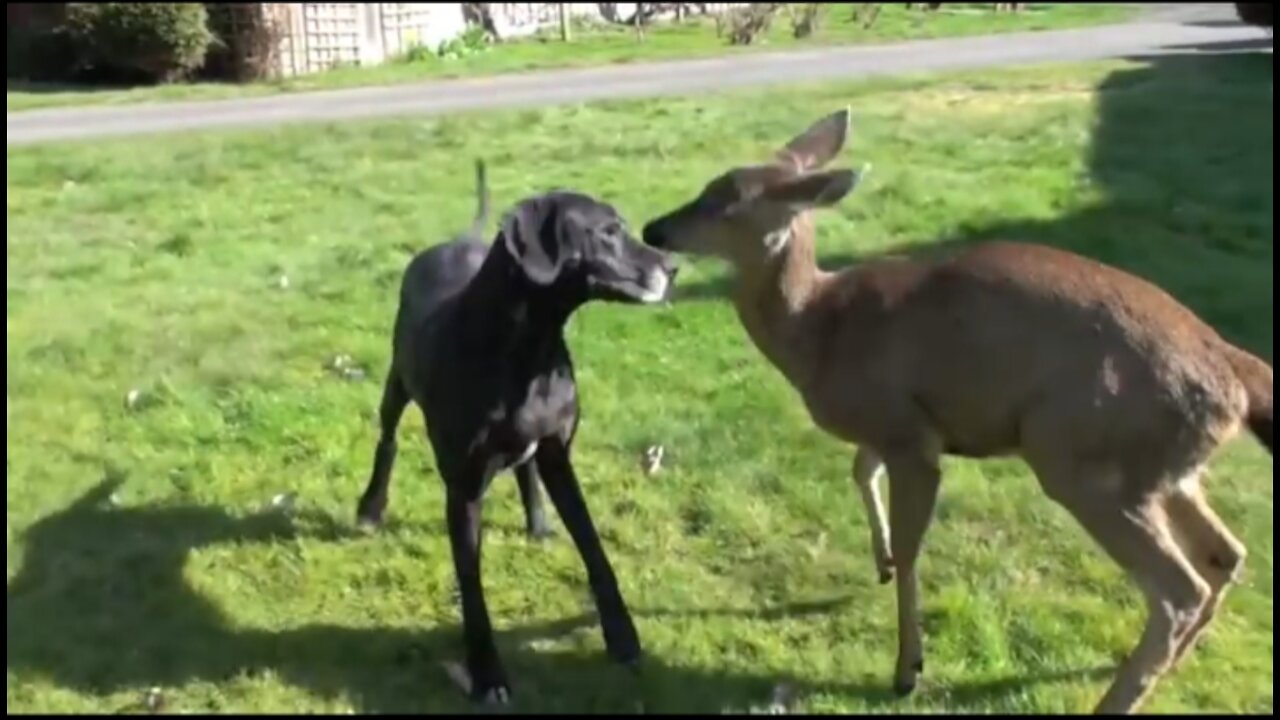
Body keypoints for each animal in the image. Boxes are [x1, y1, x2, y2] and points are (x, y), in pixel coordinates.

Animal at [355, 161, 675, 702]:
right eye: (608, 232)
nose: (672, 268)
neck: (530, 348)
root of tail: (459, 238)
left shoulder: (558, 453)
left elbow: (594, 547)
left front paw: (622, 636)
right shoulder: (463, 487)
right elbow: (473, 589)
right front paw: (487, 675)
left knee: (525, 470)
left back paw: (537, 522)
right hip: (397, 384)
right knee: (388, 439)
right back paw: (371, 506)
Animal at [640, 106, 1269, 712]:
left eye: (725, 202)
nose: (653, 228)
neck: (819, 330)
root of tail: (1236, 375)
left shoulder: (906, 430)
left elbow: (911, 540)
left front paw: (907, 667)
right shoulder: (898, 422)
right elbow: (860, 471)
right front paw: (880, 561)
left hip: (1081, 452)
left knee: (1179, 588)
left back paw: (1116, 699)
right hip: (1162, 466)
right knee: (1225, 555)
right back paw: (1169, 666)